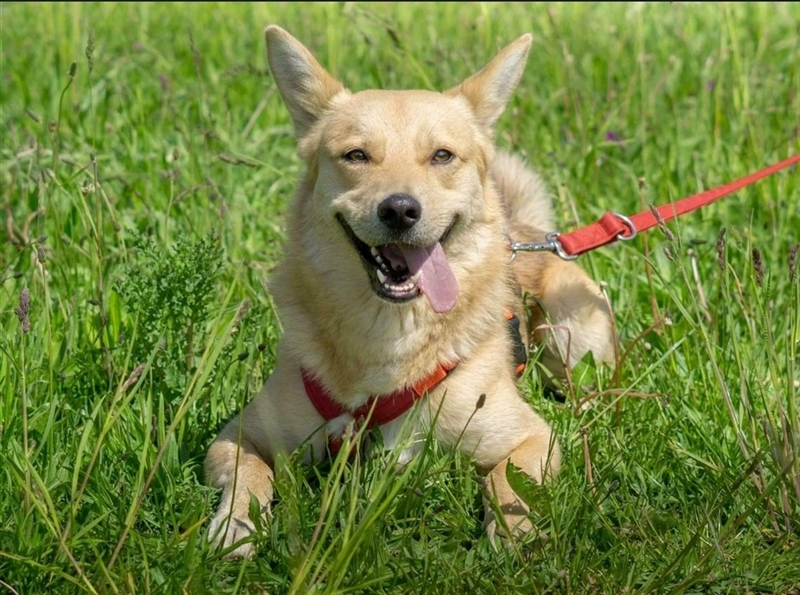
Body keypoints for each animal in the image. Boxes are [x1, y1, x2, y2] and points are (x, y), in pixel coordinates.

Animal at [206, 25, 615, 558]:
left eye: (441, 156)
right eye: (356, 155)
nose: (400, 209)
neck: (389, 336)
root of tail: (527, 233)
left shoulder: (528, 438)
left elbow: (507, 484)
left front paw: (512, 537)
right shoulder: (242, 433)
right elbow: (247, 474)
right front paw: (234, 526)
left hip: (574, 337)